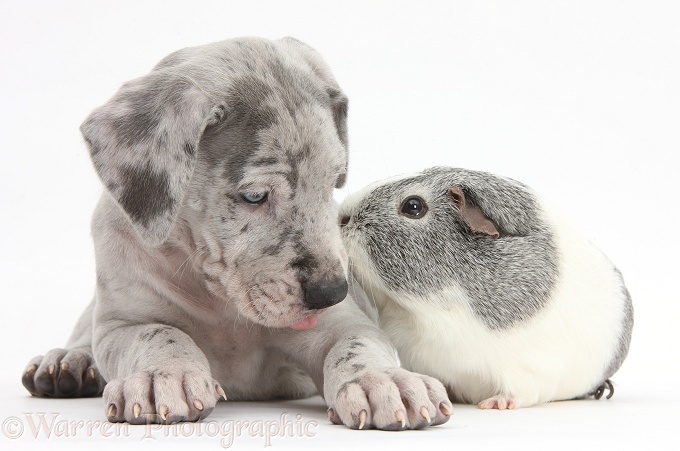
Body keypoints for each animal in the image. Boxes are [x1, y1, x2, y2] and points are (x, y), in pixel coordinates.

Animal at [21, 37, 454, 430]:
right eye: (255, 195)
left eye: (332, 184)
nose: (331, 292)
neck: (218, 300)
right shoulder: (121, 324)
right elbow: (157, 333)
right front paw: (165, 376)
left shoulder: (342, 323)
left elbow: (356, 344)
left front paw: (383, 381)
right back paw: (67, 362)